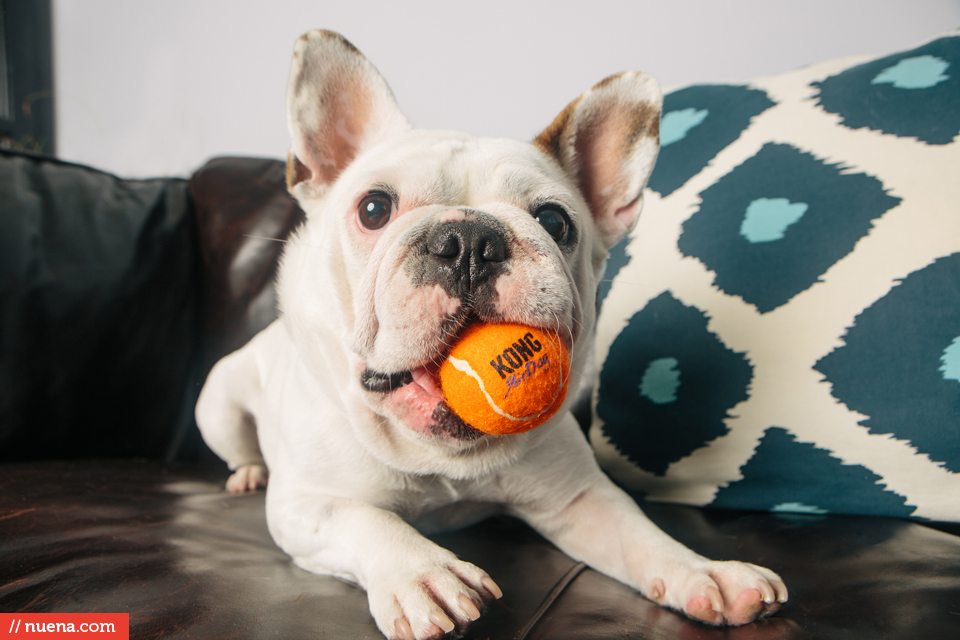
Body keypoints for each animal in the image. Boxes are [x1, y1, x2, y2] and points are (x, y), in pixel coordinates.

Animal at [195, 30, 788, 640]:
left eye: (555, 222)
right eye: (374, 208)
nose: (469, 241)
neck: (440, 456)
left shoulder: (581, 498)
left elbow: (641, 534)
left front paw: (706, 572)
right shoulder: (308, 505)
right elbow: (367, 519)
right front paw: (422, 573)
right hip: (216, 404)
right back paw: (248, 472)